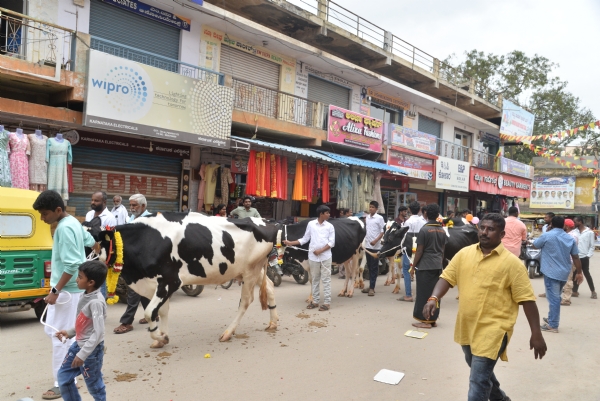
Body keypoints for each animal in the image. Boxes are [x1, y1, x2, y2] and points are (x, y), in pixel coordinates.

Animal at [98, 212, 278, 346]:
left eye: (95, 243)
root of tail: (265, 221)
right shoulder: (155, 284)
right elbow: (162, 311)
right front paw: (162, 338)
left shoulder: (170, 281)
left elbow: (150, 313)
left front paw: (161, 337)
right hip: (251, 269)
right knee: (269, 286)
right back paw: (273, 322)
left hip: (250, 270)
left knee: (246, 301)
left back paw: (228, 332)